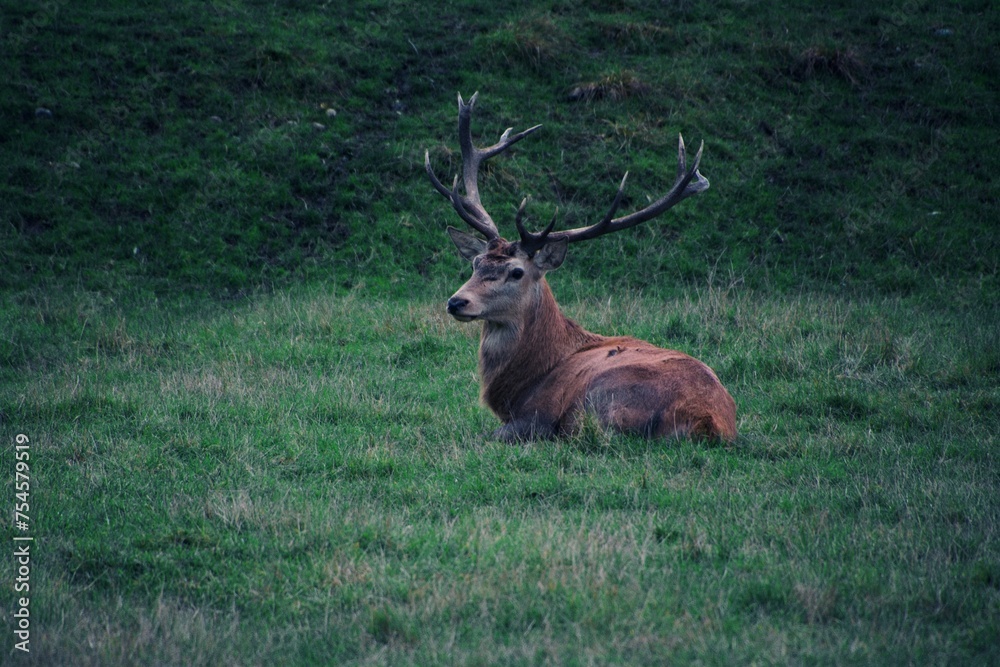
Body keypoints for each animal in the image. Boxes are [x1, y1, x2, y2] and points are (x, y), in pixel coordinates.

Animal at [425, 92, 737, 443]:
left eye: (517, 272)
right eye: (476, 263)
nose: (456, 301)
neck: (525, 381)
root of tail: (708, 422)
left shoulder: (537, 415)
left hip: (601, 402)